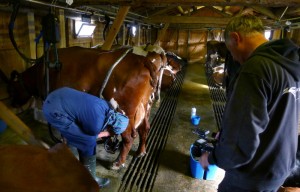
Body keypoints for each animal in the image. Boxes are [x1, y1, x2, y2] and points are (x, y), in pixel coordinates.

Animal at [7, 46, 168, 170]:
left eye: (12, 89)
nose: (12, 104)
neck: (43, 72)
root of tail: (143, 60)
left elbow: (64, 133)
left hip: (124, 111)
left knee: (129, 138)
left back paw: (117, 163)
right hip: (145, 106)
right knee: (144, 129)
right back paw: (141, 151)